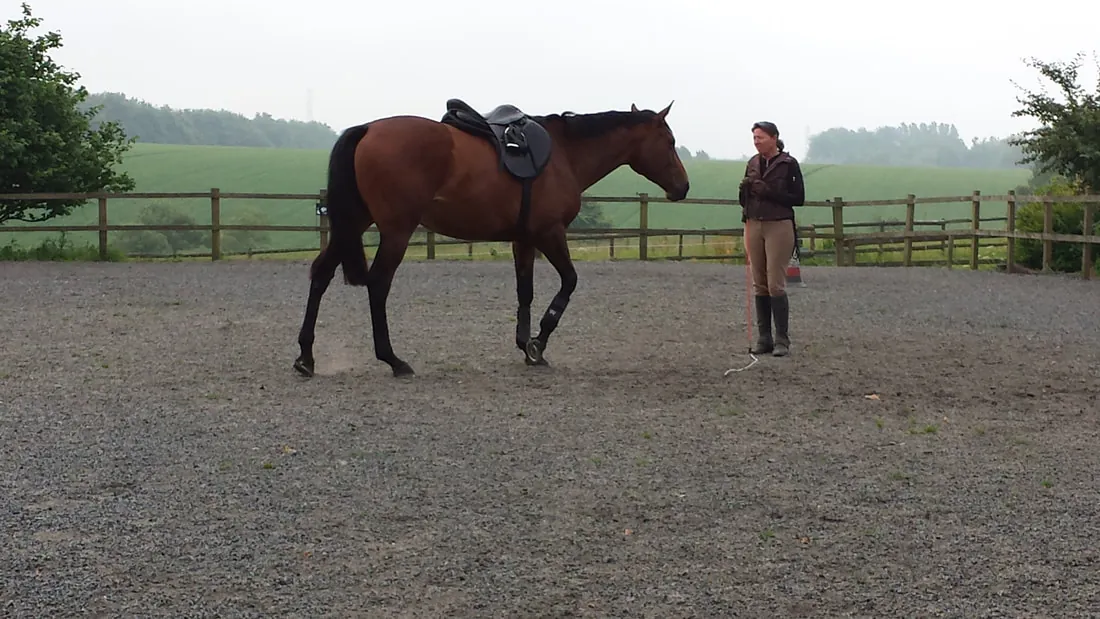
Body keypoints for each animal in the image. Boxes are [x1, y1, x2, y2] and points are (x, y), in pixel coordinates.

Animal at [293, 99, 690, 378]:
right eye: (670, 141)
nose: (684, 187)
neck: (563, 154)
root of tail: (367, 129)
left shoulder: (524, 239)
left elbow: (525, 292)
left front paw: (526, 346)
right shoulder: (549, 233)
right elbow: (569, 282)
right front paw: (539, 342)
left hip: (353, 224)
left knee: (322, 273)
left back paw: (306, 357)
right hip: (395, 231)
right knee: (378, 285)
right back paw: (392, 359)